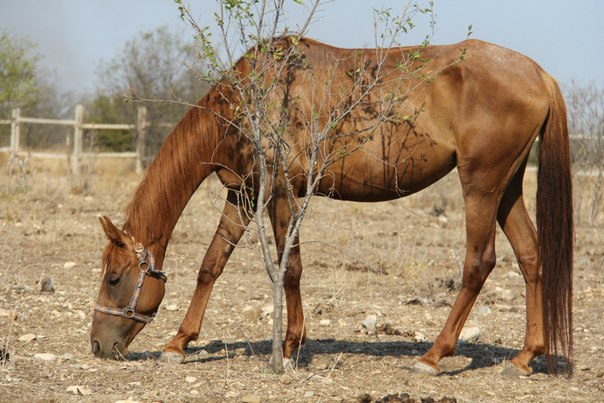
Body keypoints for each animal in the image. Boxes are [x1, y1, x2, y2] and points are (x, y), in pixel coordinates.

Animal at [89, 37, 573, 376]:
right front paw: (178, 343)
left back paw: (433, 356)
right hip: (507, 189)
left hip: (481, 186)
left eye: (114, 278)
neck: (254, 94)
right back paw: (525, 357)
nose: (97, 345)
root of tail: (539, 74)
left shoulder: (281, 193)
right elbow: (212, 263)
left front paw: (289, 348)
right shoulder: (243, 194)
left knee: (479, 263)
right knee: (531, 256)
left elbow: (291, 268)